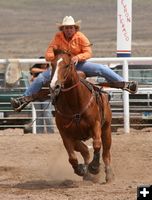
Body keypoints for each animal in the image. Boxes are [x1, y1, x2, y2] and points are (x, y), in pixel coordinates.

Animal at [50, 51, 114, 183]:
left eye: (67, 65)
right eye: (51, 65)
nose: (54, 86)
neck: (75, 103)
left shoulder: (95, 125)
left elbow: (97, 144)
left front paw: (94, 167)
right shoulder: (65, 134)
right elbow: (72, 157)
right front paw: (81, 169)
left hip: (106, 129)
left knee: (106, 153)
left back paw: (108, 174)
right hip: (76, 138)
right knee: (85, 150)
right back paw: (86, 173)